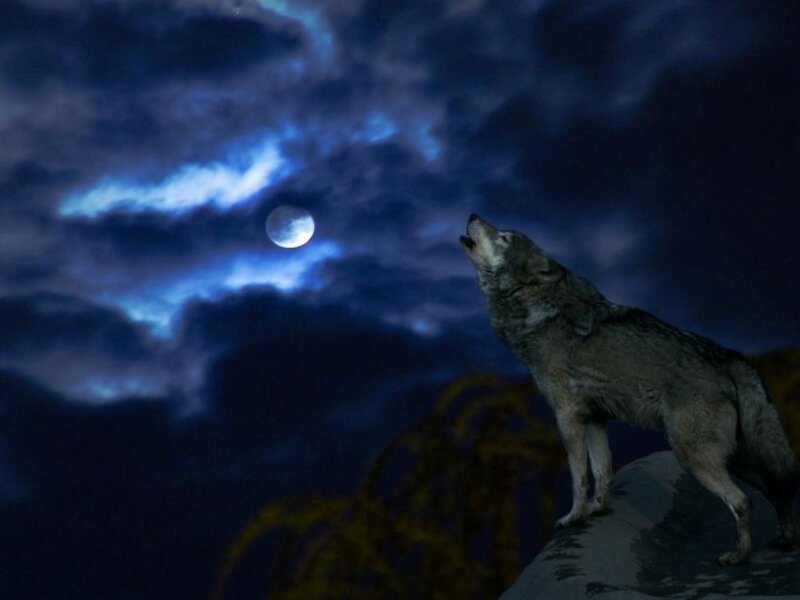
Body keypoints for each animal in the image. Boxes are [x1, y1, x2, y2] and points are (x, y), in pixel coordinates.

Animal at [460, 213, 799, 565]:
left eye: (505, 238)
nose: (472, 215)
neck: (535, 307)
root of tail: (729, 357)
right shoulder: (596, 419)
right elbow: (603, 470)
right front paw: (598, 510)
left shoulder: (567, 417)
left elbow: (579, 477)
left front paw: (573, 518)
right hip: (736, 459)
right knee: (778, 490)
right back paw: (785, 541)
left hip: (694, 457)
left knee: (743, 501)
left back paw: (738, 556)